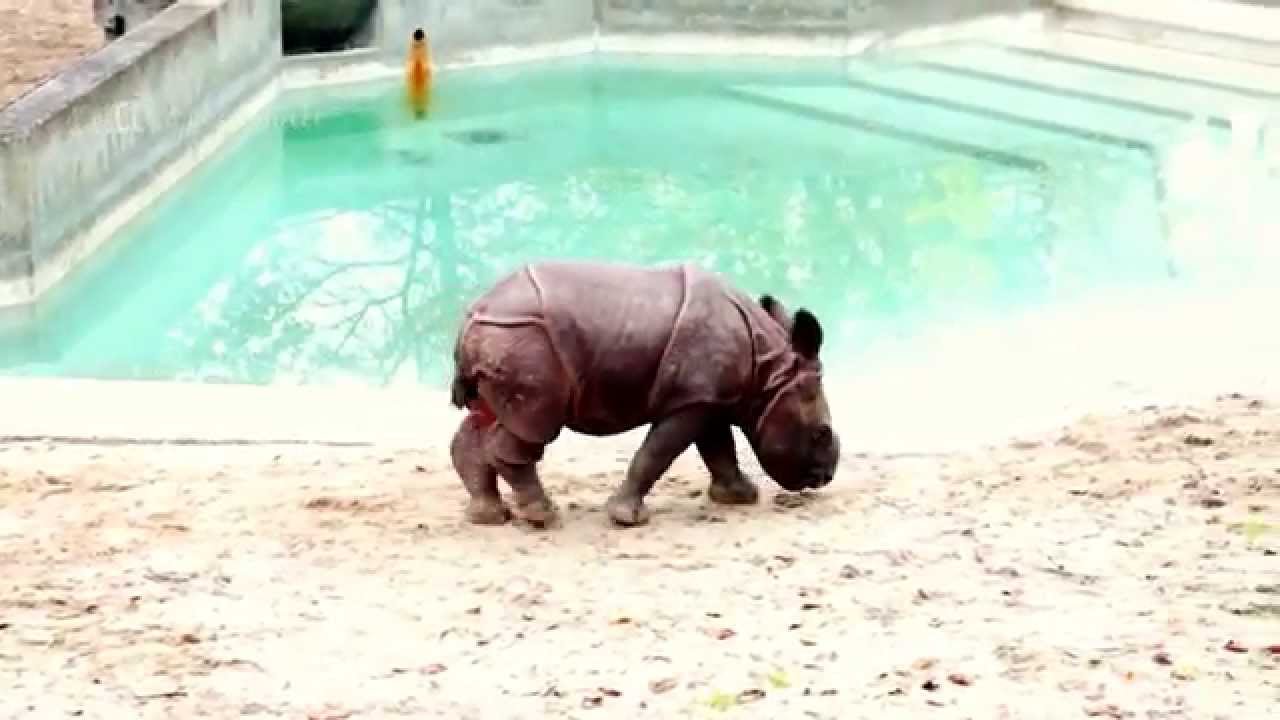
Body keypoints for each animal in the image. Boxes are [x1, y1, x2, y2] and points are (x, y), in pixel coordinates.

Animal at [448, 260, 840, 527]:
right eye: (822, 433)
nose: (823, 479)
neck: (769, 375)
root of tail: (472, 319)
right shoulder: (693, 399)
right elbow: (657, 453)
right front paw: (627, 519)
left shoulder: (705, 396)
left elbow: (718, 448)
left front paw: (739, 497)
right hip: (524, 342)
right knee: (534, 426)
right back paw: (543, 516)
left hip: (504, 339)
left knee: (486, 419)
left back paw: (489, 516)